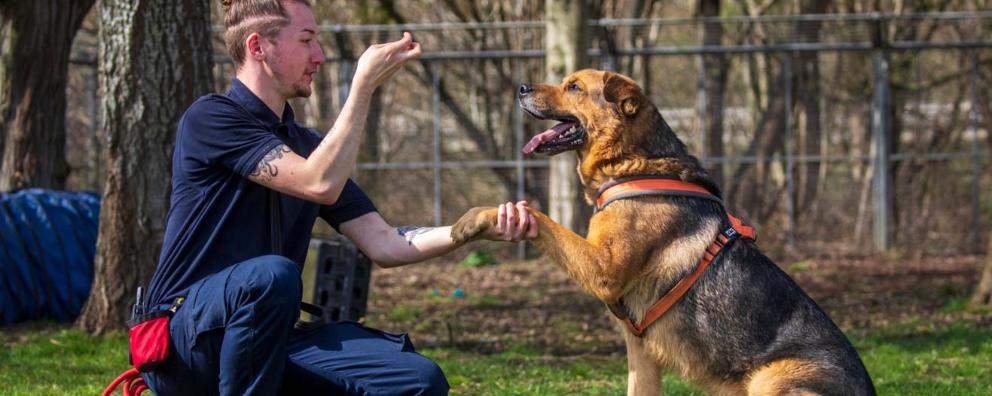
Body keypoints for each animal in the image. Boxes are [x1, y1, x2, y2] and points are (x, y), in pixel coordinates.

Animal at [452, 69, 876, 394]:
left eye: (573, 86)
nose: (521, 87)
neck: (632, 164)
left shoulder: (603, 269)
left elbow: (539, 217)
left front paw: (478, 218)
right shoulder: (640, 352)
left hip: (771, 379)